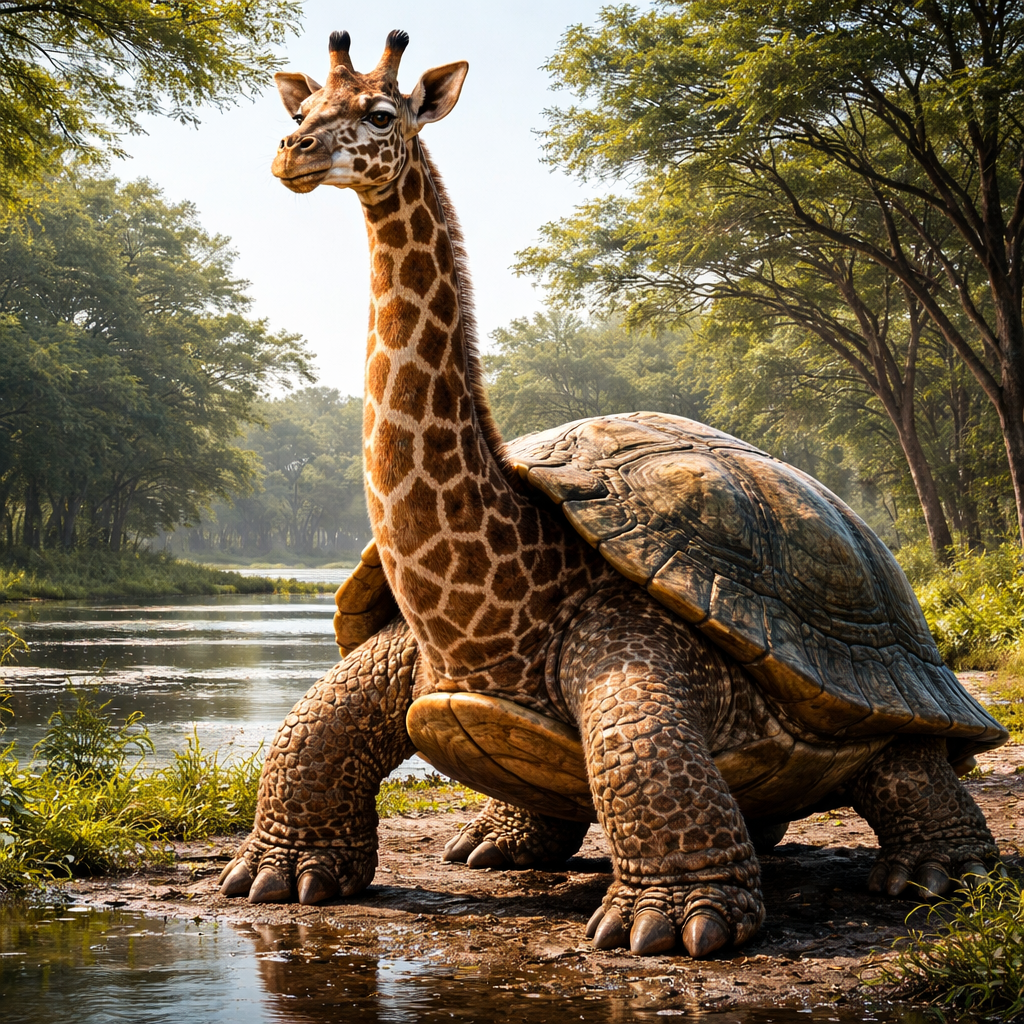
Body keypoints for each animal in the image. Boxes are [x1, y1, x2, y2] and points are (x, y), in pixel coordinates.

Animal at [218, 31, 1002, 959]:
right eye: (301, 110)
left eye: (381, 114)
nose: (293, 152)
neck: (490, 615)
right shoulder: (412, 646)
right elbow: (315, 725)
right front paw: (280, 872)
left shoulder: (638, 638)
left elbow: (642, 748)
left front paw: (673, 917)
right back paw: (494, 841)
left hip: (893, 676)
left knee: (905, 761)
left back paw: (940, 871)